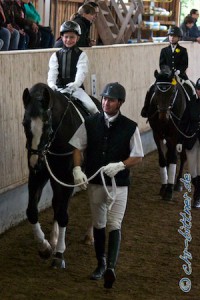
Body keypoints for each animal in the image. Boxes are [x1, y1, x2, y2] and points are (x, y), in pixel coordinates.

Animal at [22, 81, 101, 268]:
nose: (36, 161)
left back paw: (90, 235)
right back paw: (54, 238)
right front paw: (44, 247)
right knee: (56, 202)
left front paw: (59, 254)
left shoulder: (67, 178)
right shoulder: (37, 176)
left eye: (47, 125)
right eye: (24, 124)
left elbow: (63, 214)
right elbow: (32, 211)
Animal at [147, 69, 188, 200]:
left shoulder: (174, 135)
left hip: (183, 134)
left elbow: (174, 158)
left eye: (172, 92)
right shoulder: (157, 134)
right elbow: (162, 159)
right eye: (156, 92)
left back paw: (178, 183)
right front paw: (164, 186)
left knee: (182, 157)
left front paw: (169, 190)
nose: (163, 118)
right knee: (169, 154)